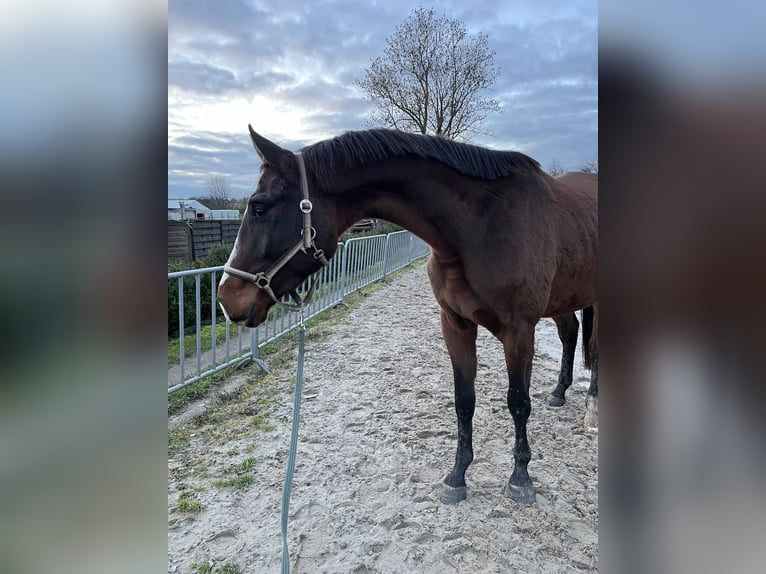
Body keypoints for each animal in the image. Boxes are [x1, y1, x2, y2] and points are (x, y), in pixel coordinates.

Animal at [218, 127, 598, 504]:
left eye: (259, 208)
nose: (225, 298)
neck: (481, 225)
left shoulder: (519, 330)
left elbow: (518, 402)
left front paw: (520, 478)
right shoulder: (455, 325)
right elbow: (464, 401)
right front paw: (457, 477)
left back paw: (592, 407)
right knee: (571, 333)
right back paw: (560, 391)